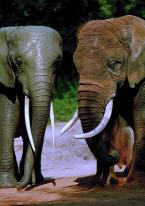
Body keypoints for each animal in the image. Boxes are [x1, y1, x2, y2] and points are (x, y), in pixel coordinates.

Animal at [0, 25, 62, 188]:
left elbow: (35, 121)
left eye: (58, 62)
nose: (20, 186)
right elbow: (9, 119)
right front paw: (8, 185)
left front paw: (35, 181)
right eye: (19, 62)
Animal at [61, 14, 145, 185]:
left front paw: (134, 181)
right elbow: (108, 123)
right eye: (76, 68)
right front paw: (105, 182)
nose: (115, 154)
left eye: (113, 64)